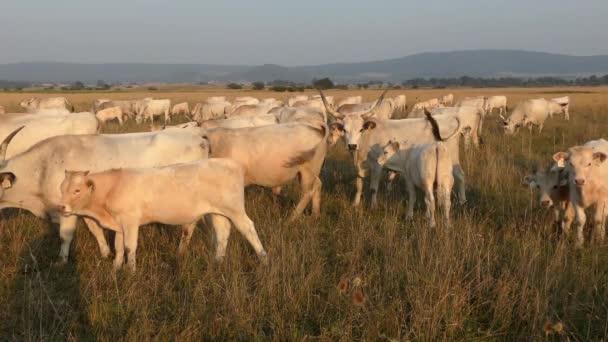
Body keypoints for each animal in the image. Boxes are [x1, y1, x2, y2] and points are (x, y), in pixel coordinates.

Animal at [0, 127, 211, 264]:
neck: (42, 167)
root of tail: (196, 135)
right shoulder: (85, 209)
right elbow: (95, 230)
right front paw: (105, 252)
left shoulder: (65, 211)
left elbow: (65, 236)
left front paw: (61, 261)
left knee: (188, 227)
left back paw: (181, 253)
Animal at [58, 159, 268, 272]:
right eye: (61, 188)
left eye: (77, 190)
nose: (61, 206)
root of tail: (230, 162)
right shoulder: (118, 224)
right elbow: (118, 248)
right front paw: (115, 269)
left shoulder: (130, 221)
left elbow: (129, 247)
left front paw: (131, 271)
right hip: (217, 212)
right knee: (223, 233)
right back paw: (217, 261)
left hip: (235, 209)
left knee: (248, 228)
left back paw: (263, 258)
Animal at [320, 91, 464, 207]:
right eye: (344, 130)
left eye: (361, 129)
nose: (352, 145)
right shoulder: (359, 167)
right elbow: (359, 185)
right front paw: (355, 204)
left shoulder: (377, 166)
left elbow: (373, 188)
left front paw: (373, 206)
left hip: (453, 159)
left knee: (460, 175)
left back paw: (462, 201)